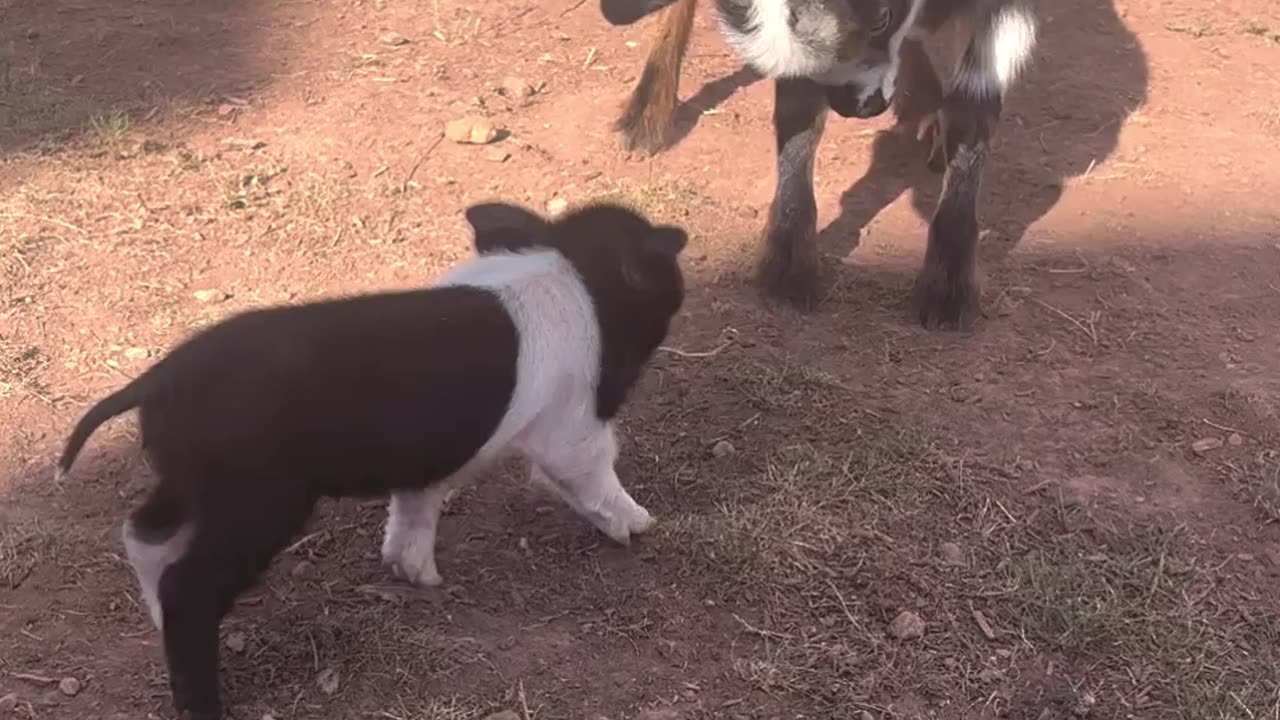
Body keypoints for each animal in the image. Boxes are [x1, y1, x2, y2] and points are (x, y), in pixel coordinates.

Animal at [55, 199, 691, 717]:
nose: (680, 251)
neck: (573, 271)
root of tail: (155, 381)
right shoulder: (572, 427)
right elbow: (597, 470)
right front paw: (642, 527)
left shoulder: (426, 464)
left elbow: (415, 508)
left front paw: (418, 577)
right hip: (259, 501)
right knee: (186, 583)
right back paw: (206, 704)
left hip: (185, 481)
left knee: (143, 534)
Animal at [604, 0, 1034, 327]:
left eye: (881, 18)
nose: (862, 107)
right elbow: (797, 109)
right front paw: (788, 262)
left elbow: (975, 103)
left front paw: (949, 284)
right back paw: (648, 111)